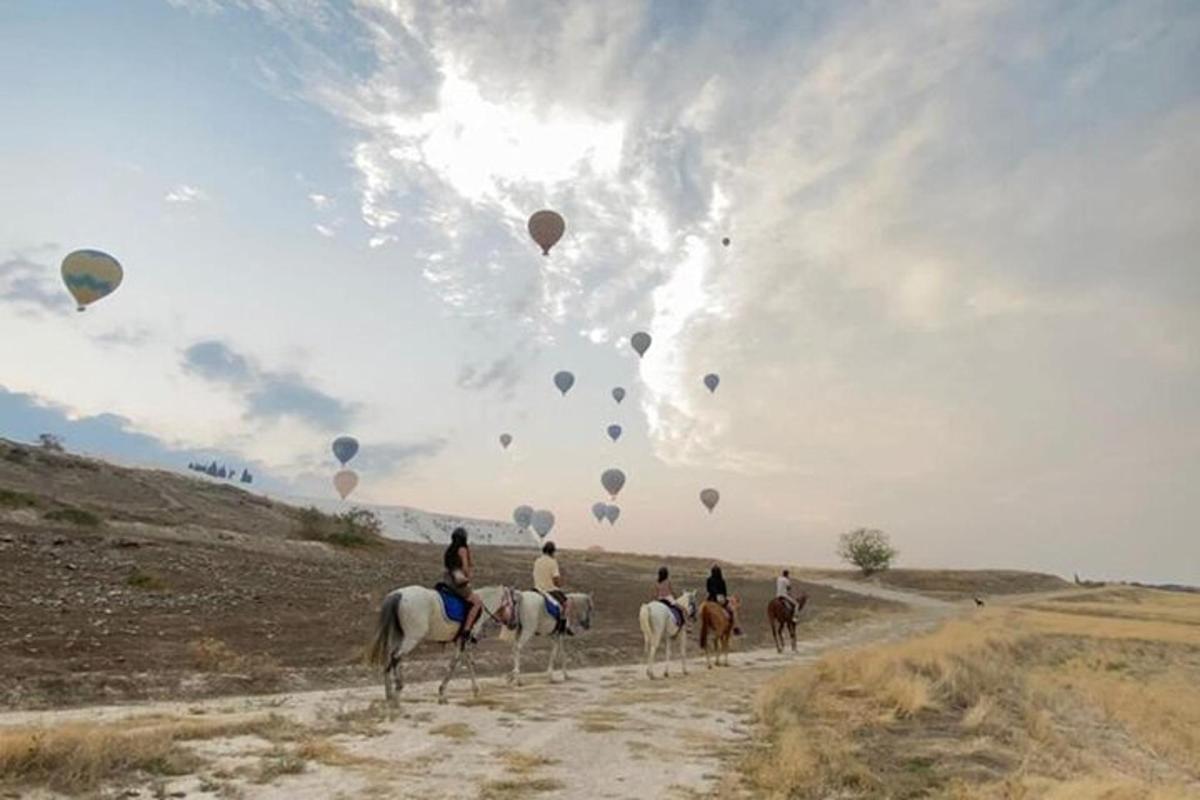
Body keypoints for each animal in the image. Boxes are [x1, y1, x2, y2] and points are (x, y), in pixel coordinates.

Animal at [367, 585, 513, 705]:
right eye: (511, 604)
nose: (511, 624)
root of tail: (398, 594)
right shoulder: (463, 642)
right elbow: (454, 664)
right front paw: (442, 693)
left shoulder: (461, 642)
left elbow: (468, 662)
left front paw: (476, 690)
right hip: (412, 638)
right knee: (396, 656)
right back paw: (398, 688)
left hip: (398, 637)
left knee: (389, 658)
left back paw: (389, 693)